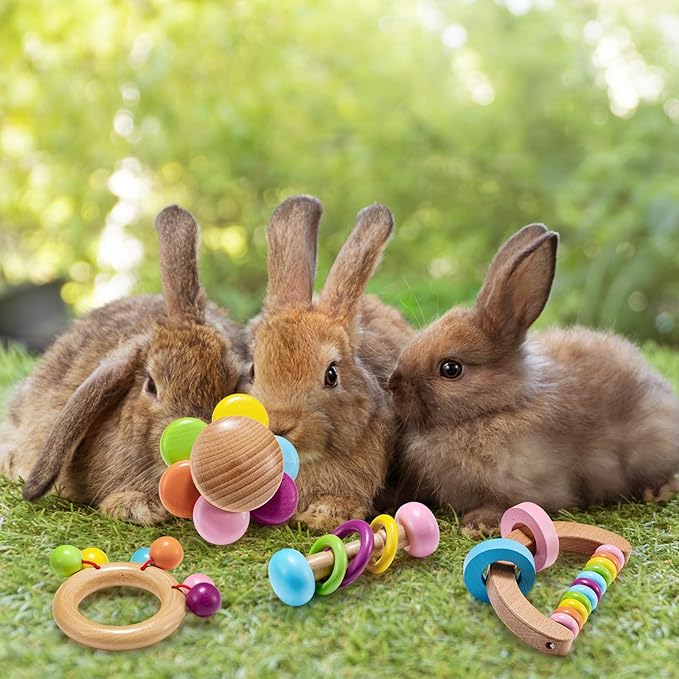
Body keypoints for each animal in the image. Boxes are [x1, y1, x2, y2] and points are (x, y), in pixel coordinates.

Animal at [387, 223, 679, 535]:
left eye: (451, 369)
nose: (393, 384)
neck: (498, 407)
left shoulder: (533, 485)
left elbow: (508, 504)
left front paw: (477, 523)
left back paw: (658, 491)